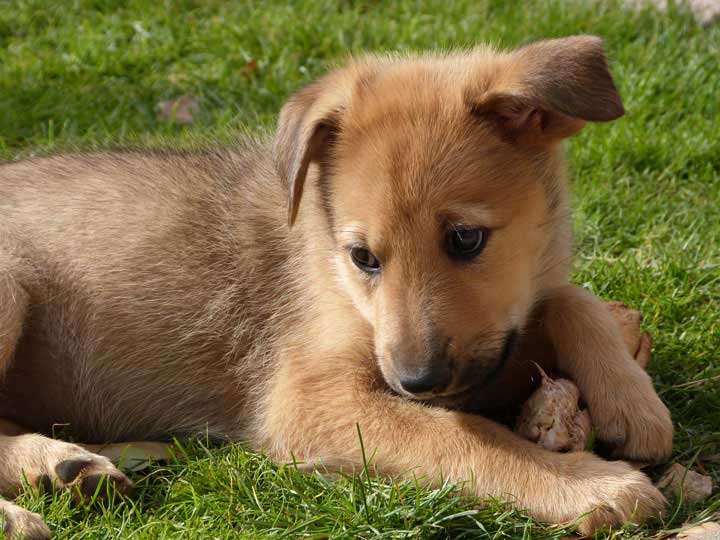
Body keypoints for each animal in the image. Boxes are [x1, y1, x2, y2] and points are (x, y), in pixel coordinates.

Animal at [0, 35, 676, 536]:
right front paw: (587, 485)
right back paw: (28, 503)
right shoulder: (310, 396)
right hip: (10, 287)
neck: (331, 267)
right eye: (362, 257)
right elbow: (465, 436)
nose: (416, 383)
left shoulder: (488, 348)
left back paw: (70, 465)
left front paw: (632, 400)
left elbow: (570, 299)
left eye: (466, 239)